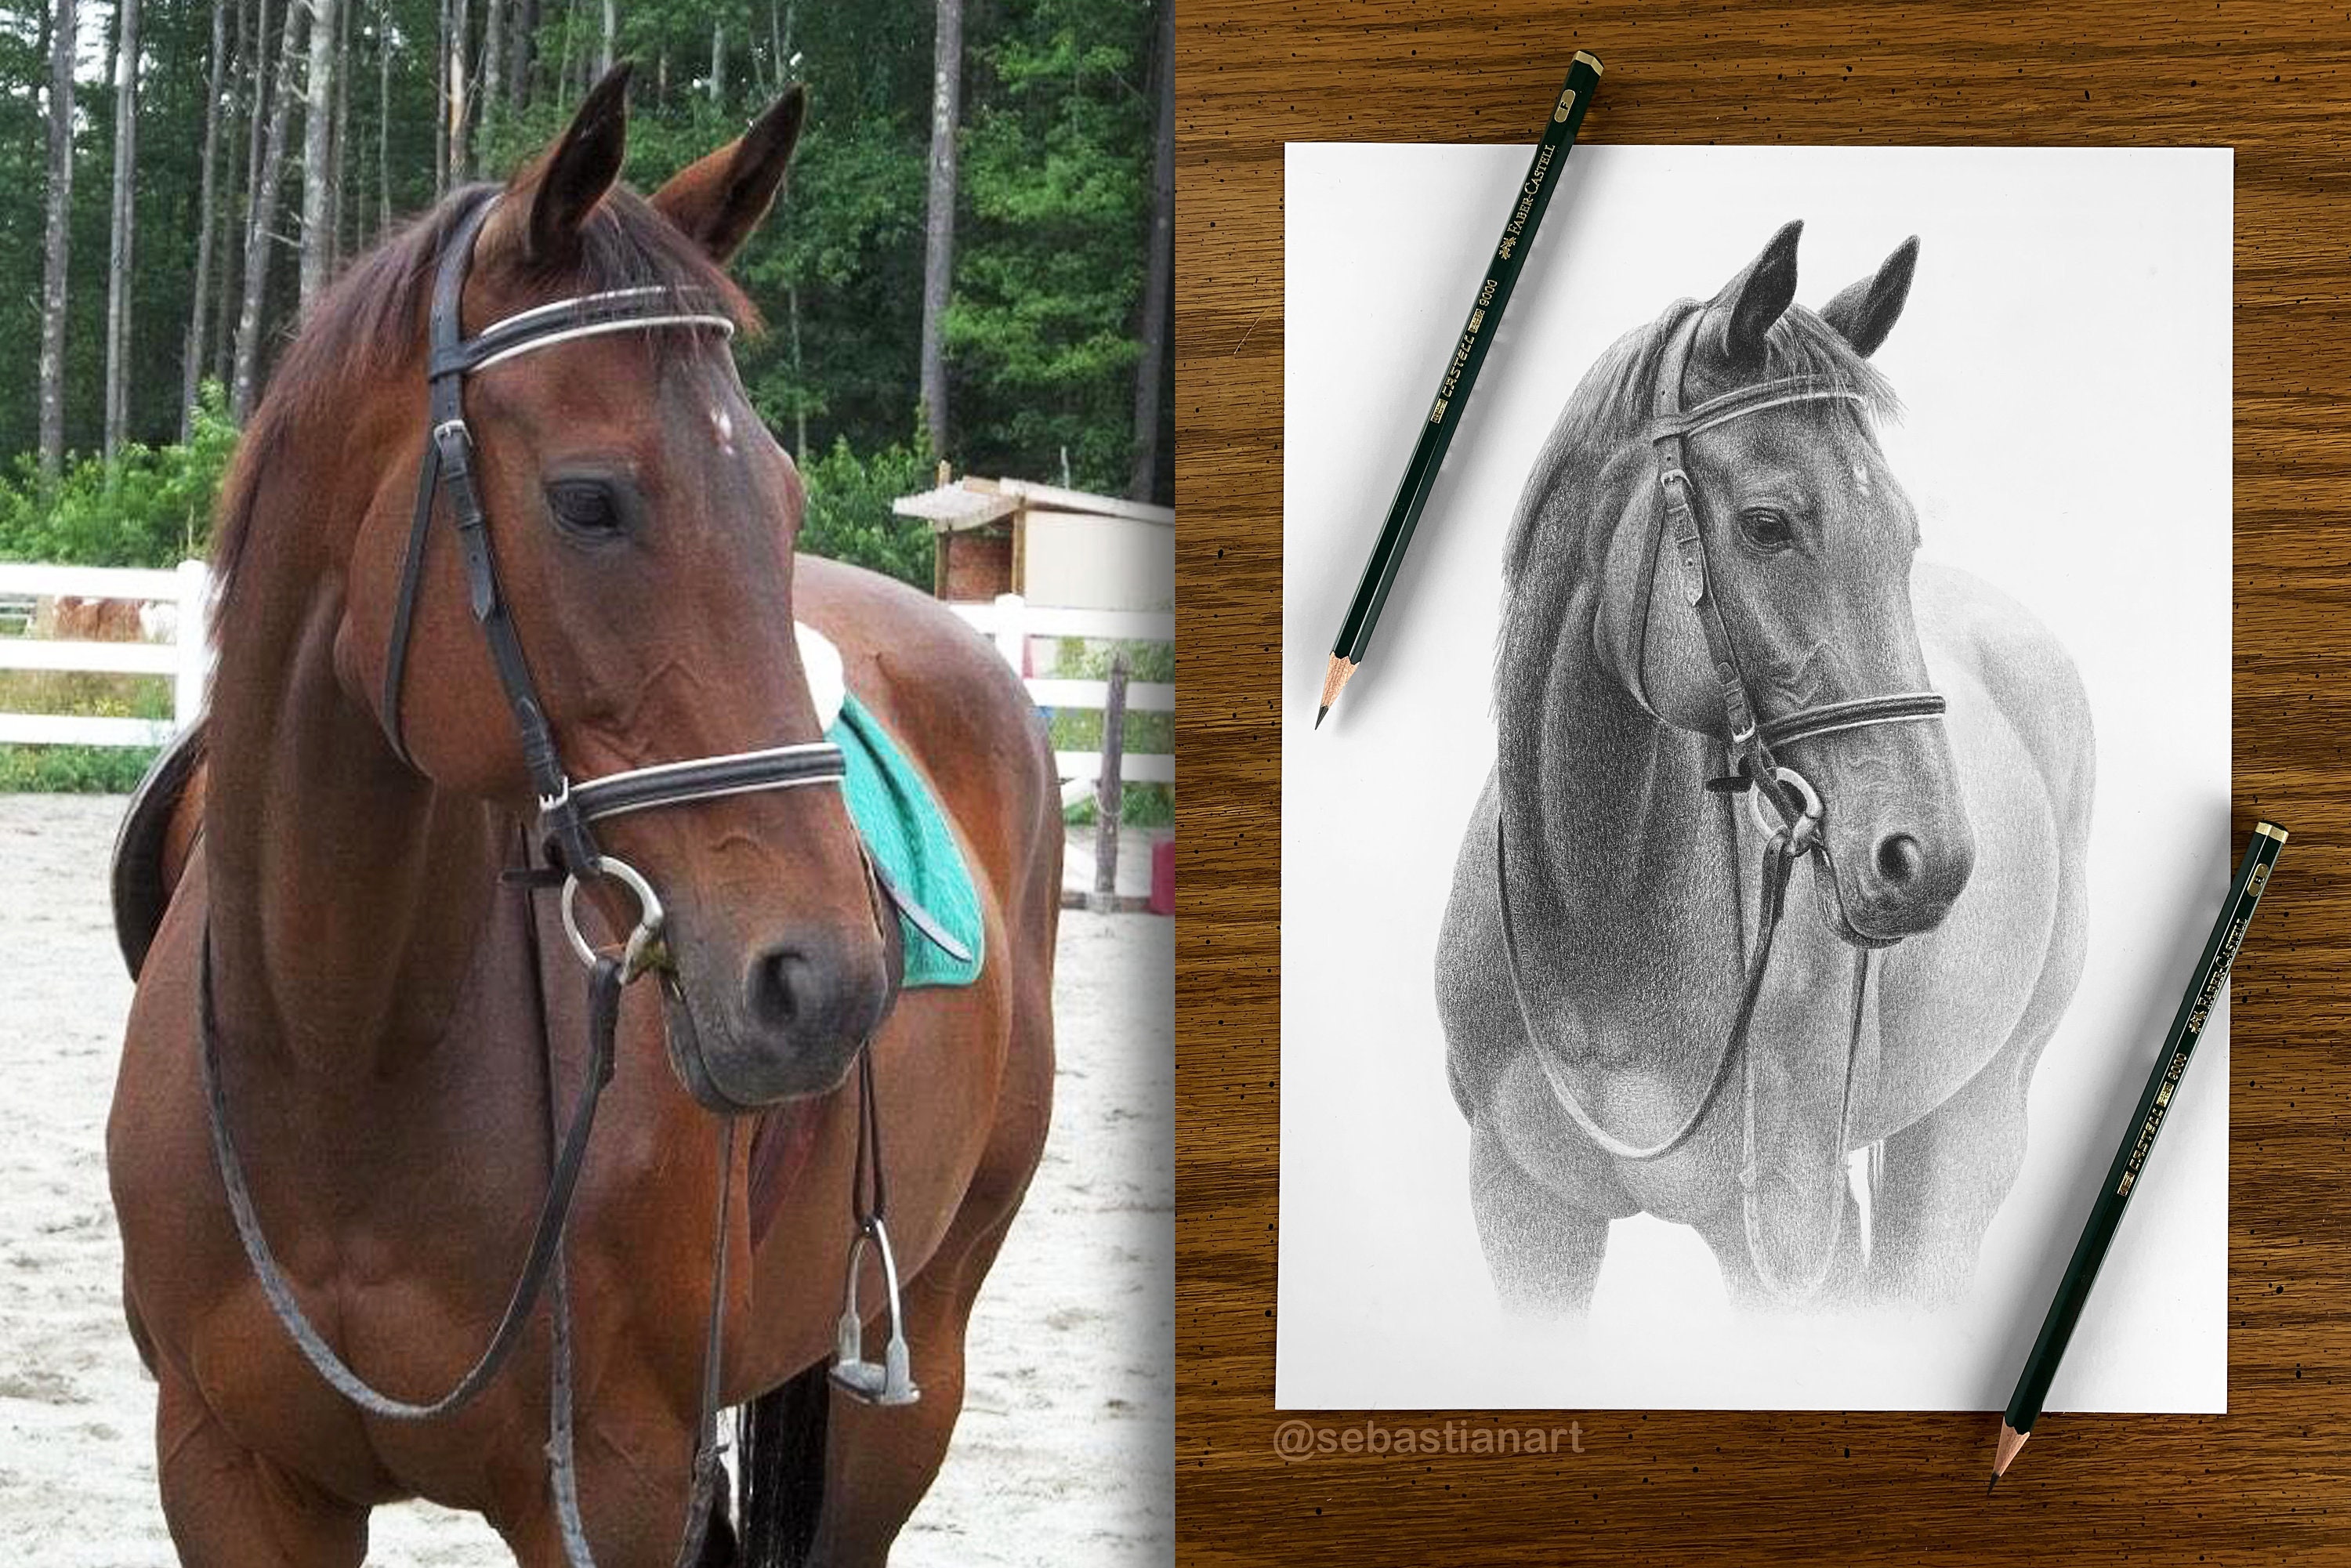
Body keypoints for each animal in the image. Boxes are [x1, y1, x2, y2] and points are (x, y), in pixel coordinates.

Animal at [105, 68, 1060, 1564]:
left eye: (783, 496)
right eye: (590, 501)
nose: (828, 982)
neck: (339, 1053)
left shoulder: (612, 1481)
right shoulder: (230, 1470)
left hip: (912, 1382)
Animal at [1437, 220, 2092, 1313]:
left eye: (1904, 533)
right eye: (1768, 524)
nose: (1927, 859)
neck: (1594, 919)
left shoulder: (1781, 1228)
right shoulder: (1521, 1214)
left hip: (1975, 1123)